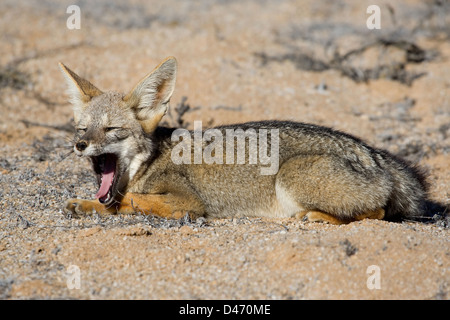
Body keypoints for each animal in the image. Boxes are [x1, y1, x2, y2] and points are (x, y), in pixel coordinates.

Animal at [59, 56, 428, 224]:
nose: (80, 146)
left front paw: (99, 203)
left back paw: (316, 217)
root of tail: (374, 154)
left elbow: (132, 201)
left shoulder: (187, 202)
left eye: (111, 130)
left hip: (291, 177)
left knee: (378, 212)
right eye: (81, 129)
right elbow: (118, 202)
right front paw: (88, 204)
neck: (151, 160)